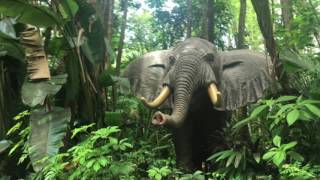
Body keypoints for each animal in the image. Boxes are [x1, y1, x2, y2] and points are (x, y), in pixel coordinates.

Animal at [122, 37, 272, 170]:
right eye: (171, 60)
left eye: (210, 58)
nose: (158, 117)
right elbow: (182, 134)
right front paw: (186, 172)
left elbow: (216, 134)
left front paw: (217, 170)